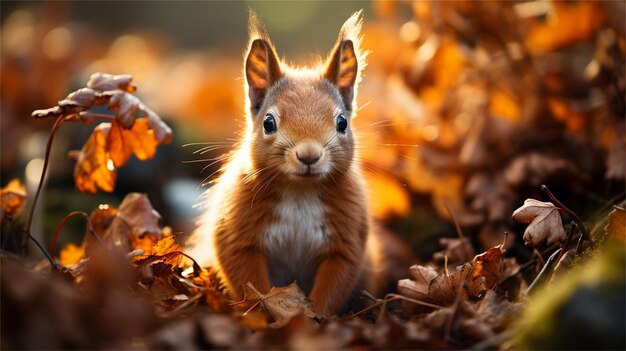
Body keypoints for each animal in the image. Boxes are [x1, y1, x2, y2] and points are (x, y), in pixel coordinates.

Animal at [185, 10, 410, 320]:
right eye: (268, 123)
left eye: (342, 122)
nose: (308, 155)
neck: (299, 191)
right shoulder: (237, 229)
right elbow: (246, 276)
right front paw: (264, 312)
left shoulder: (347, 238)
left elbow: (335, 281)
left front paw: (317, 317)